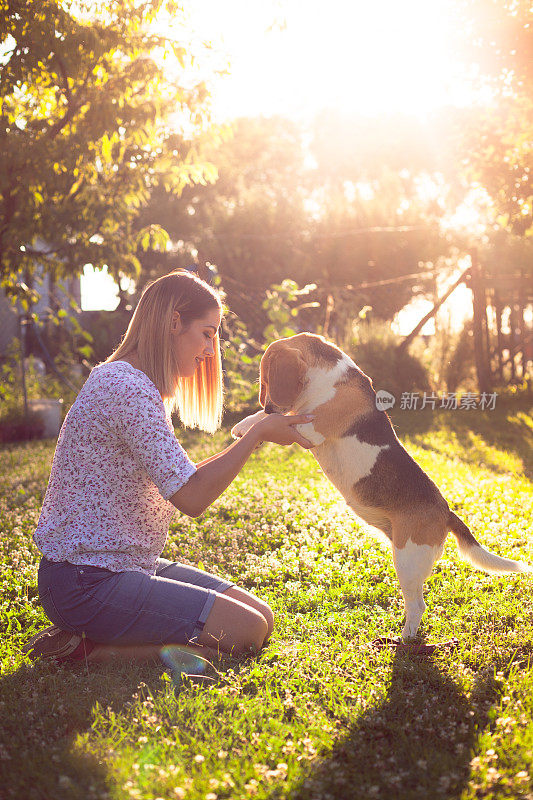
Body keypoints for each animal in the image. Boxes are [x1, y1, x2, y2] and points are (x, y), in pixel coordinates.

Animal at [232, 332, 528, 644]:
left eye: (266, 379)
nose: (267, 405)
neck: (326, 377)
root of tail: (446, 512)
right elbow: (272, 418)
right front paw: (248, 424)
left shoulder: (308, 429)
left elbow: (277, 420)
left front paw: (254, 422)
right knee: (413, 602)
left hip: (407, 560)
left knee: (418, 604)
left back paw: (406, 637)